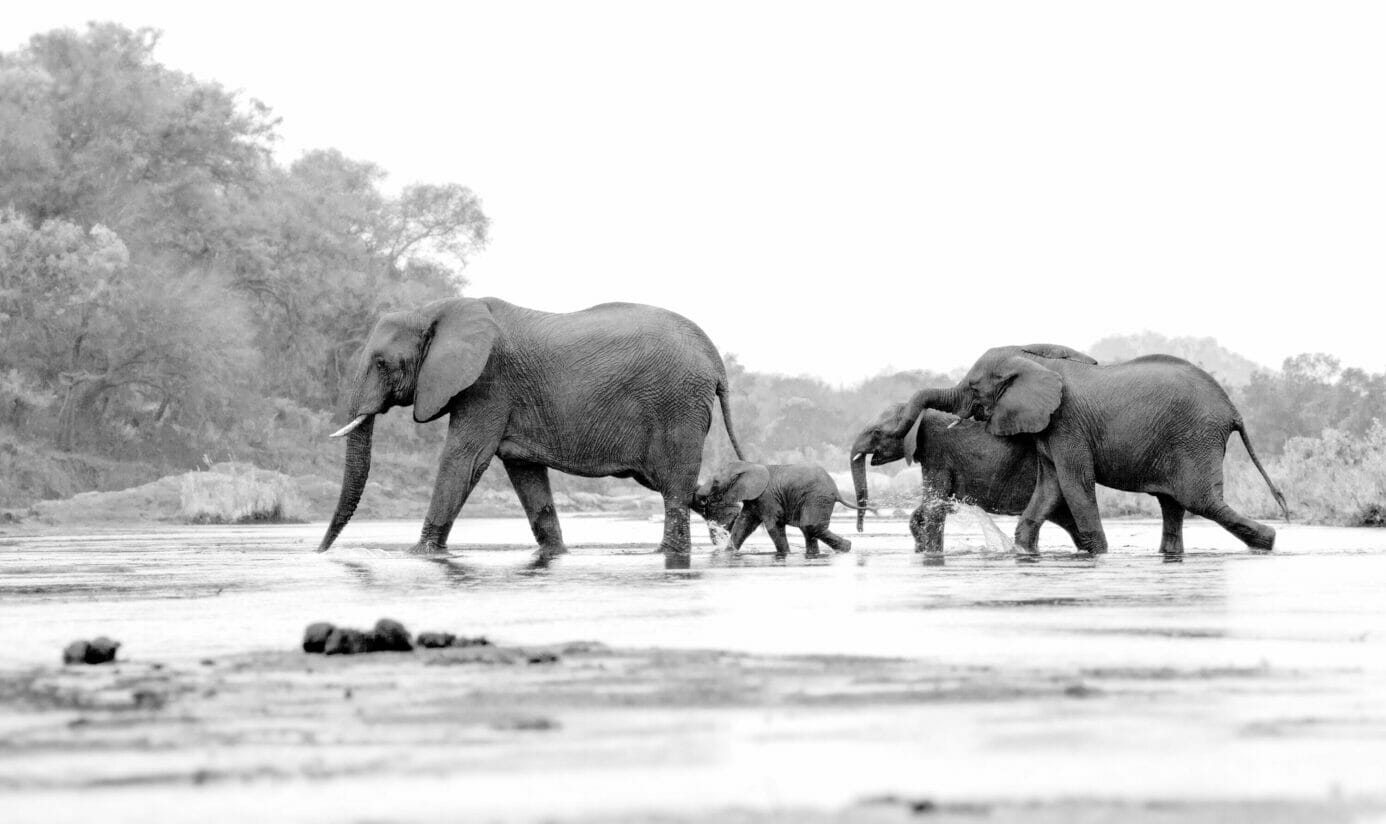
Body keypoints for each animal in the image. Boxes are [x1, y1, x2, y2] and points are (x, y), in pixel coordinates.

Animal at [317, 297, 745, 565]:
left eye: (381, 363)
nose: (320, 552)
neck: (431, 310)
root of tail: (716, 362)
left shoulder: (487, 385)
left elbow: (464, 460)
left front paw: (419, 556)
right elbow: (526, 477)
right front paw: (555, 556)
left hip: (676, 406)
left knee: (673, 490)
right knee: (677, 486)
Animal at [691, 462, 872, 558]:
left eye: (715, 482)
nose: (699, 497)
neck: (748, 465)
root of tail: (836, 491)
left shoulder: (767, 497)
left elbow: (773, 526)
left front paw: (786, 554)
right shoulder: (754, 499)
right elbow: (743, 525)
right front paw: (728, 553)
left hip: (817, 499)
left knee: (810, 527)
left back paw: (846, 548)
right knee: (809, 529)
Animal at [849, 404, 1082, 553]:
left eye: (876, 432)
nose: (860, 530)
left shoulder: (936, 452)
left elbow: (934, 506)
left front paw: (933, 554)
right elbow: (929, 506)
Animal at [900, 344, 1289, 556]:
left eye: (973, 386)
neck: (1036, 361)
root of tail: (1233, 410)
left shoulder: (1067, 423)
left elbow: (1075, 484)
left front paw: (1098, 555)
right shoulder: (1050, 430)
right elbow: (1050, 487)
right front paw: (1023, 551)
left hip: (1195, 439)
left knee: (1199, 500)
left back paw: (1268, 542)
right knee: (1173, 505)